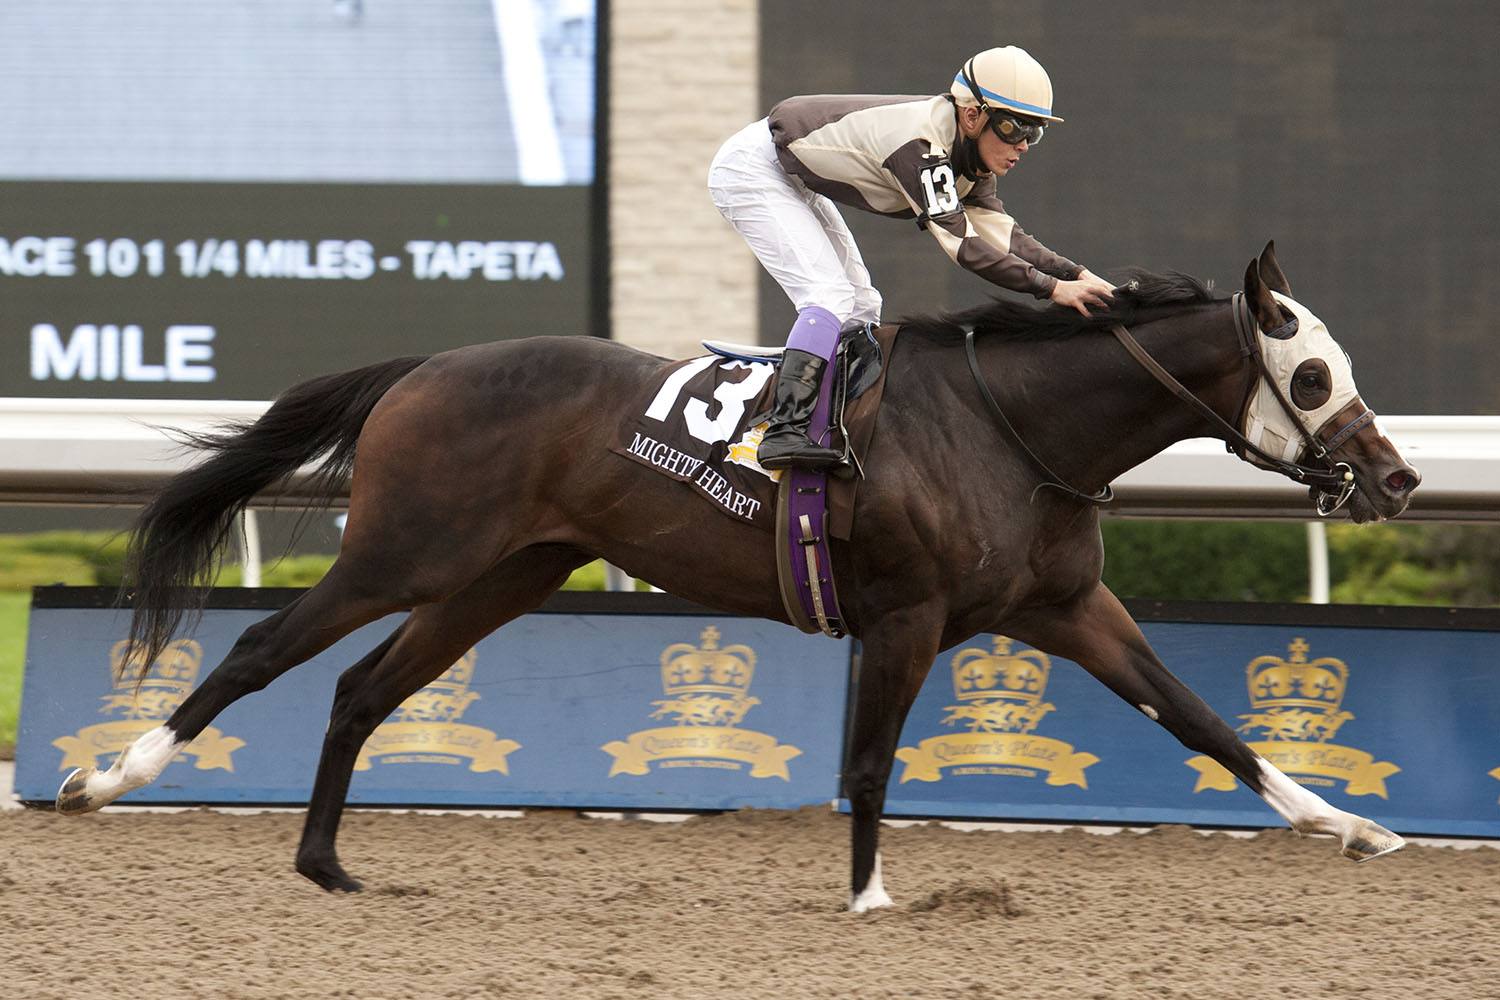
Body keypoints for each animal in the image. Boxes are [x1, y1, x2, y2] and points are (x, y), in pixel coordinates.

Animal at [55, 242, 1416, 917]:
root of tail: (423, 365)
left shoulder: (1067, 608)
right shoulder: (907, 615)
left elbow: (1204, 721)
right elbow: (866, 761)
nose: (1396, 477)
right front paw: (870, 896)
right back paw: (106, 779)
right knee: (257, 654)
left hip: (502, 574)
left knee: (360, 690)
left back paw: (327, 864)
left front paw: (1351, 826)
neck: (1010, 428)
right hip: (407, 549)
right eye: (1310, 374)